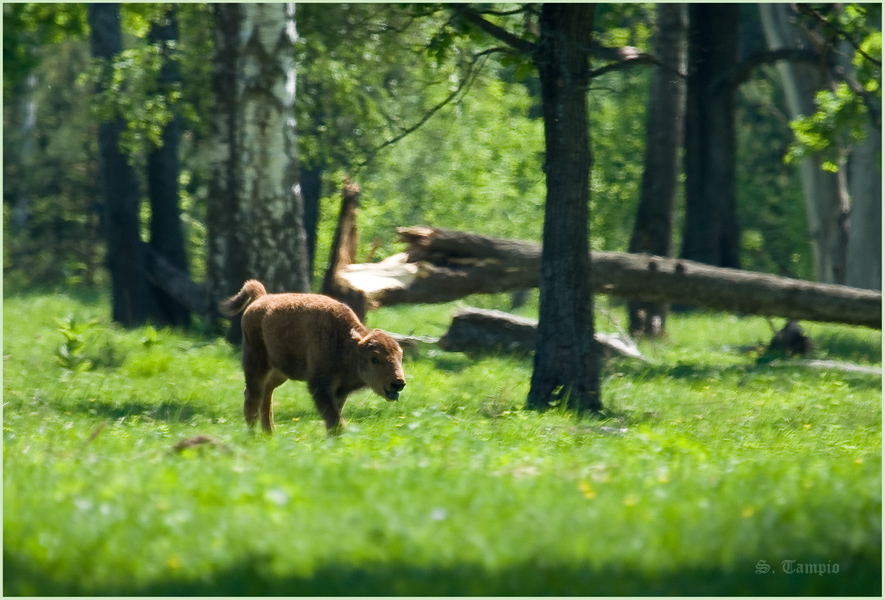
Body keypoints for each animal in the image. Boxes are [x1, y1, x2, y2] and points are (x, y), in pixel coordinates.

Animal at [219, 278, 406, 434]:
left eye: (400, 356)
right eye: (375, 358)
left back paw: (269, 433)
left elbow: (335, 415)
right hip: (256, 363)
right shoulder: (320, 385)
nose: (398, 383)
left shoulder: (339, 391)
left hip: (280, 372)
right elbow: (334, 419)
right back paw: (254, 435)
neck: (345, 342)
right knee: (252, 397)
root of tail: (260, 299)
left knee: (267, 392)